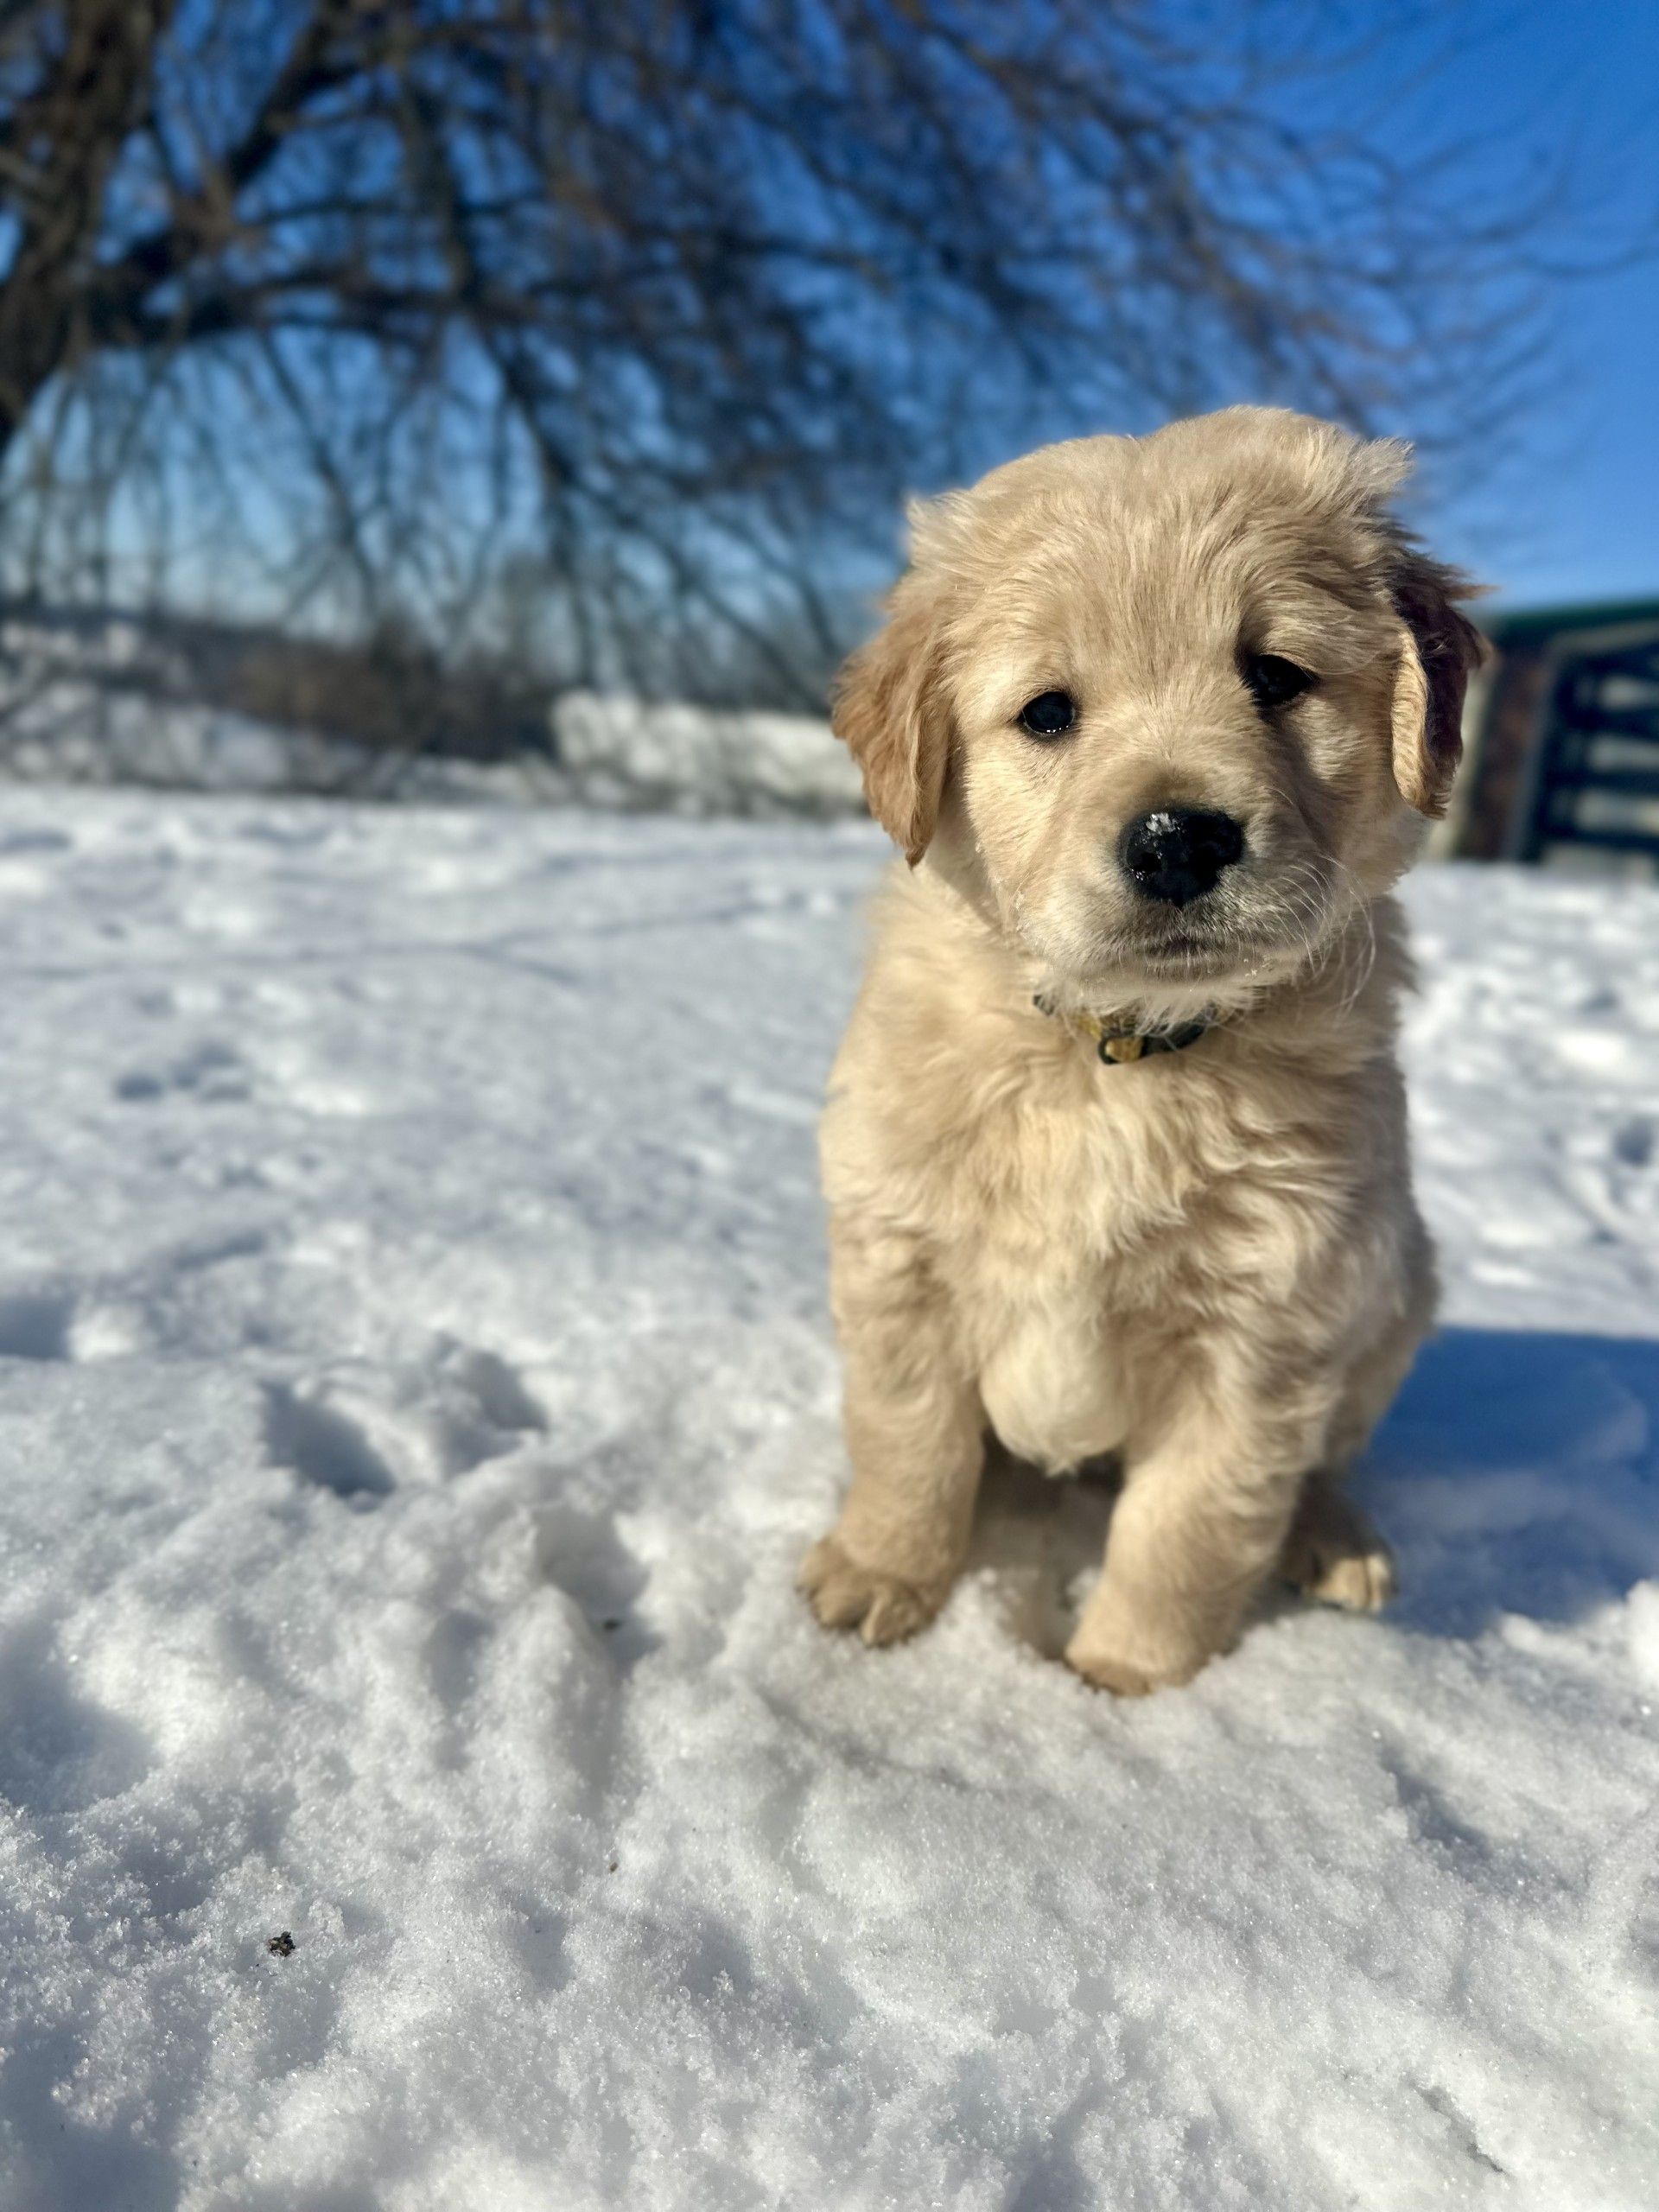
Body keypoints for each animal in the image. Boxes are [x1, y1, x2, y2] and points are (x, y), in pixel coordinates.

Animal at [800, 411, 1486, 1689]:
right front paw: (881, 1575)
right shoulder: (901, 1257)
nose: (1176, 839)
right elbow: (909, 1439)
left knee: (1328, 1460)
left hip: (1396, 1297)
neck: (1114, 1055)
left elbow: (1191, 1524)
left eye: (1276, 676)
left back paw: (1335, 1541)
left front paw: (1123, 1688)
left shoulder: (1265, 1334)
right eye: (1048, 713)